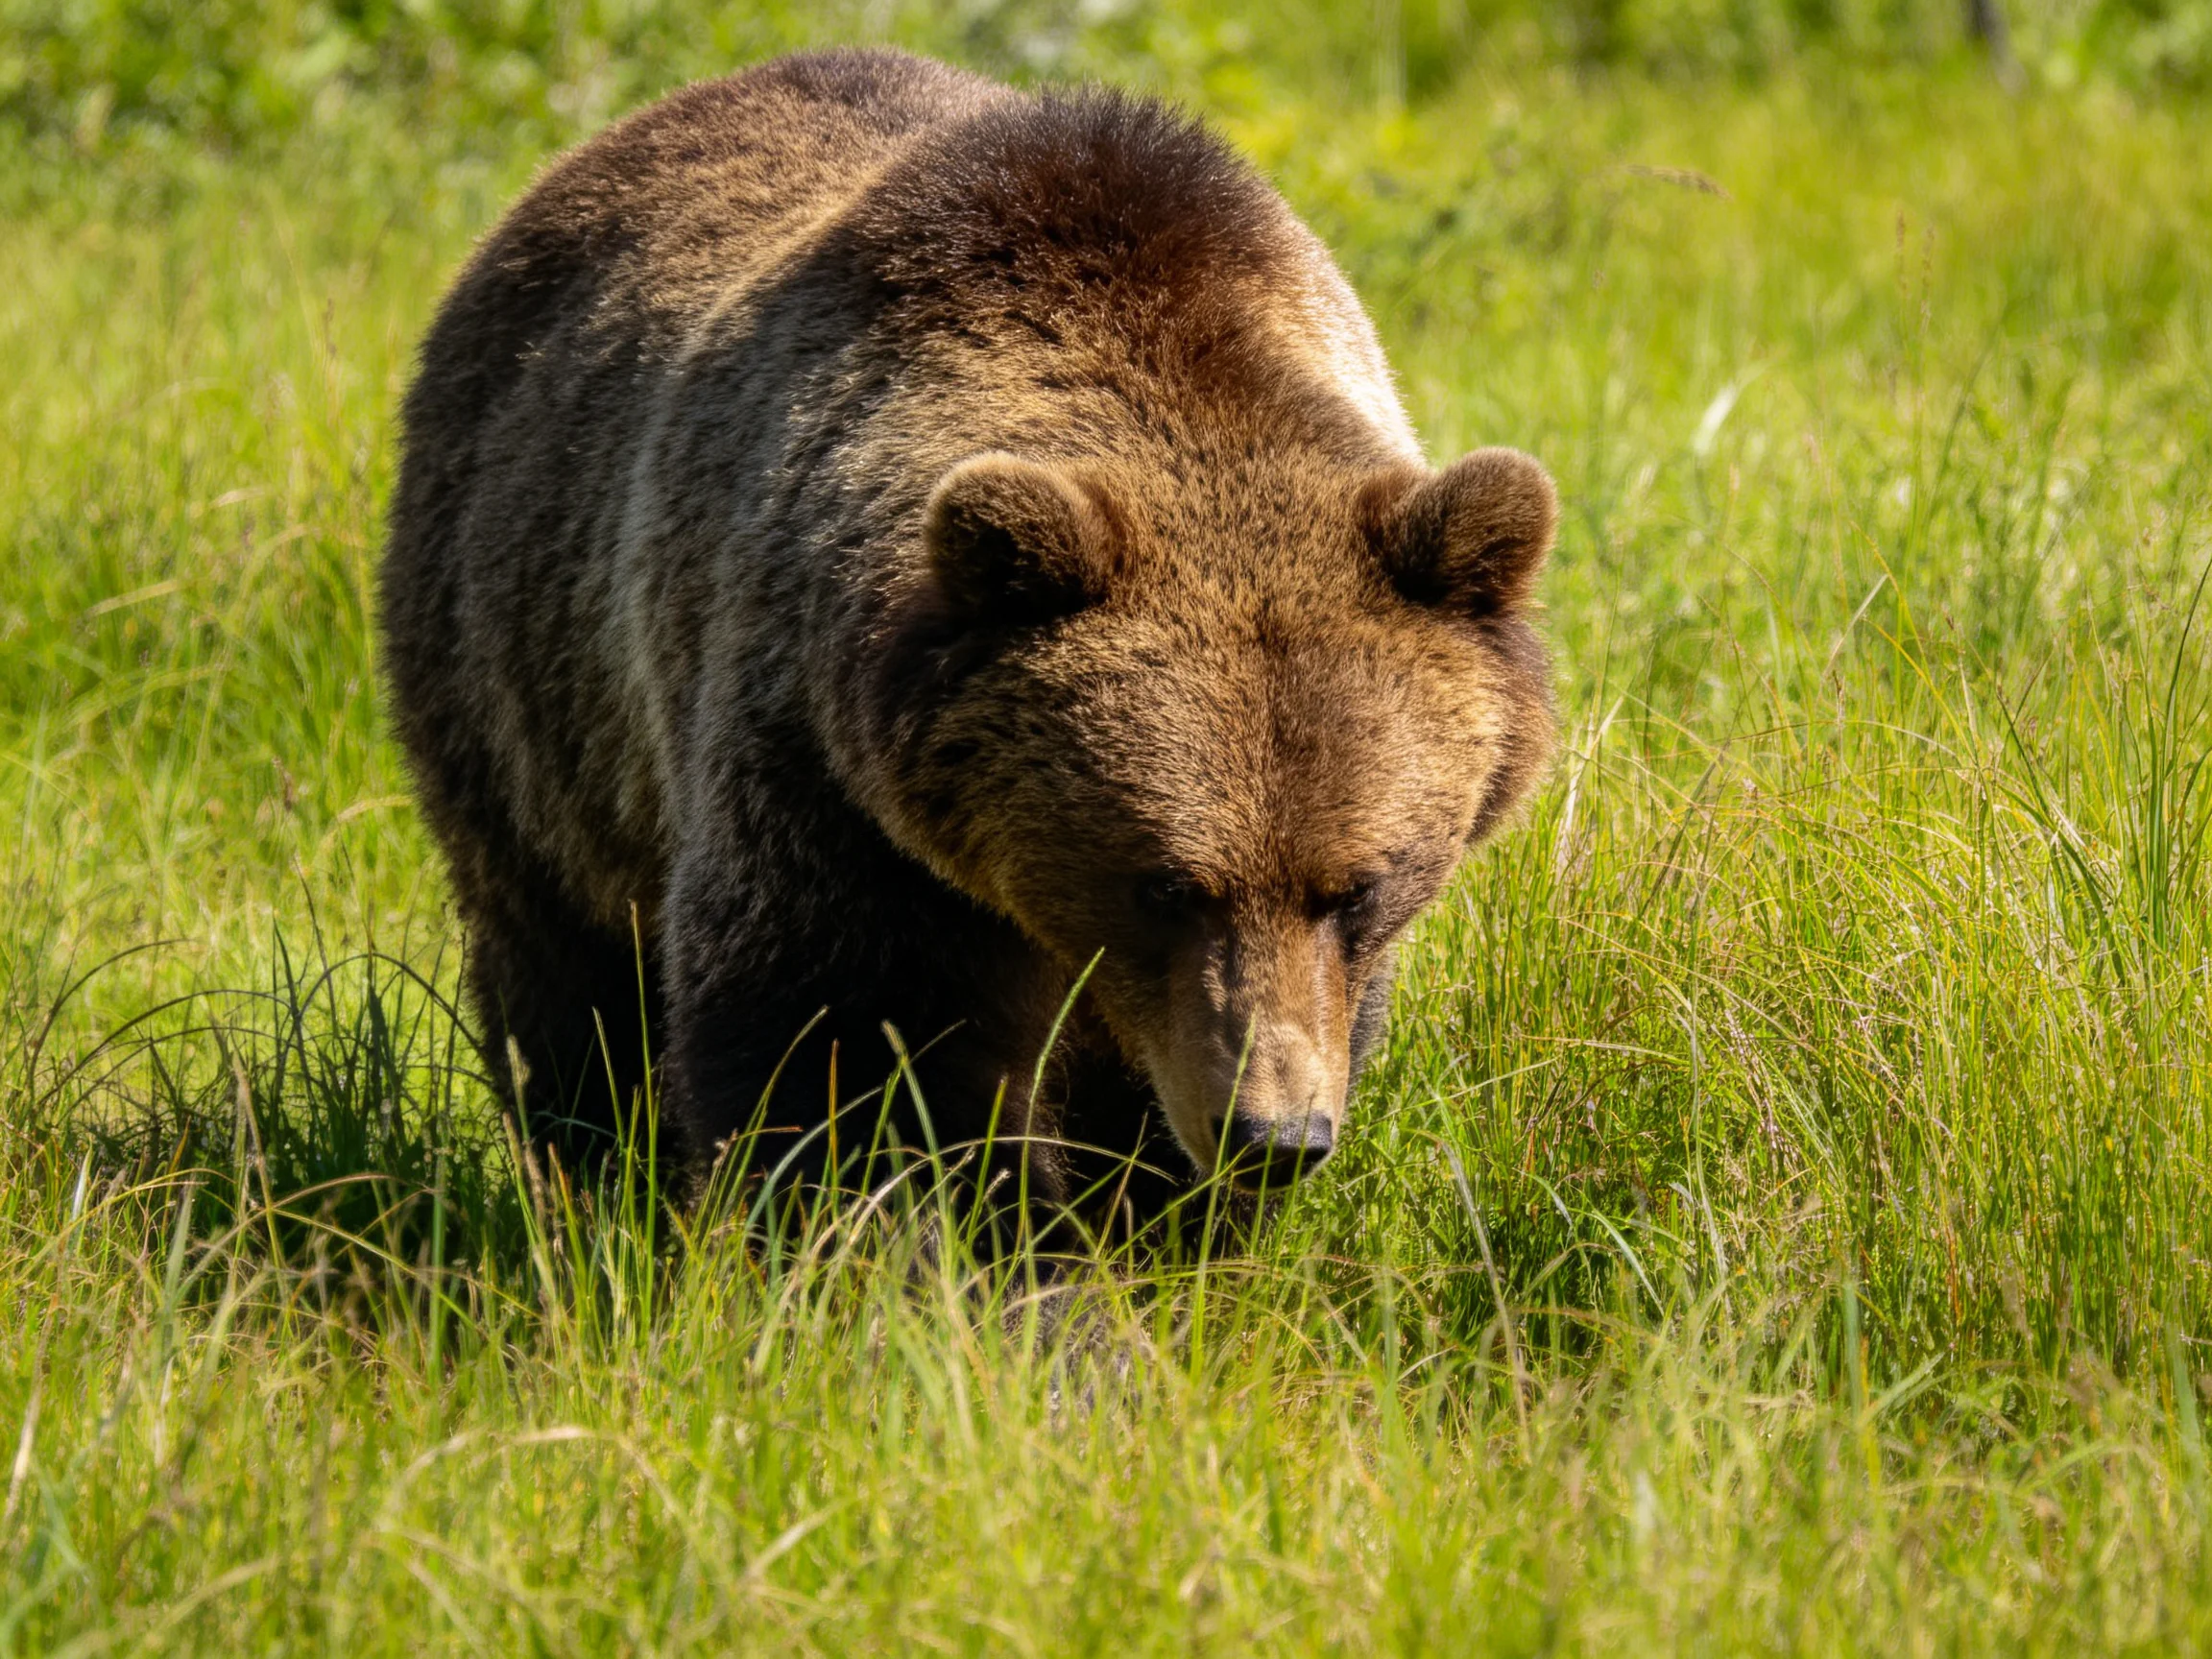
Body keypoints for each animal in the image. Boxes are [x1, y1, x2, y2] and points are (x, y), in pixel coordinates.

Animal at [380, 47, 1556, 1242]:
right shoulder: (829, 775)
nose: (1273, 1137)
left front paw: (1164, 1229)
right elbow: (847, 1051)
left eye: (1357, 886)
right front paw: (944, 1249)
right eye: (1165, 884)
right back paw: (598, 1185)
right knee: (567, 970)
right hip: (527, 670)